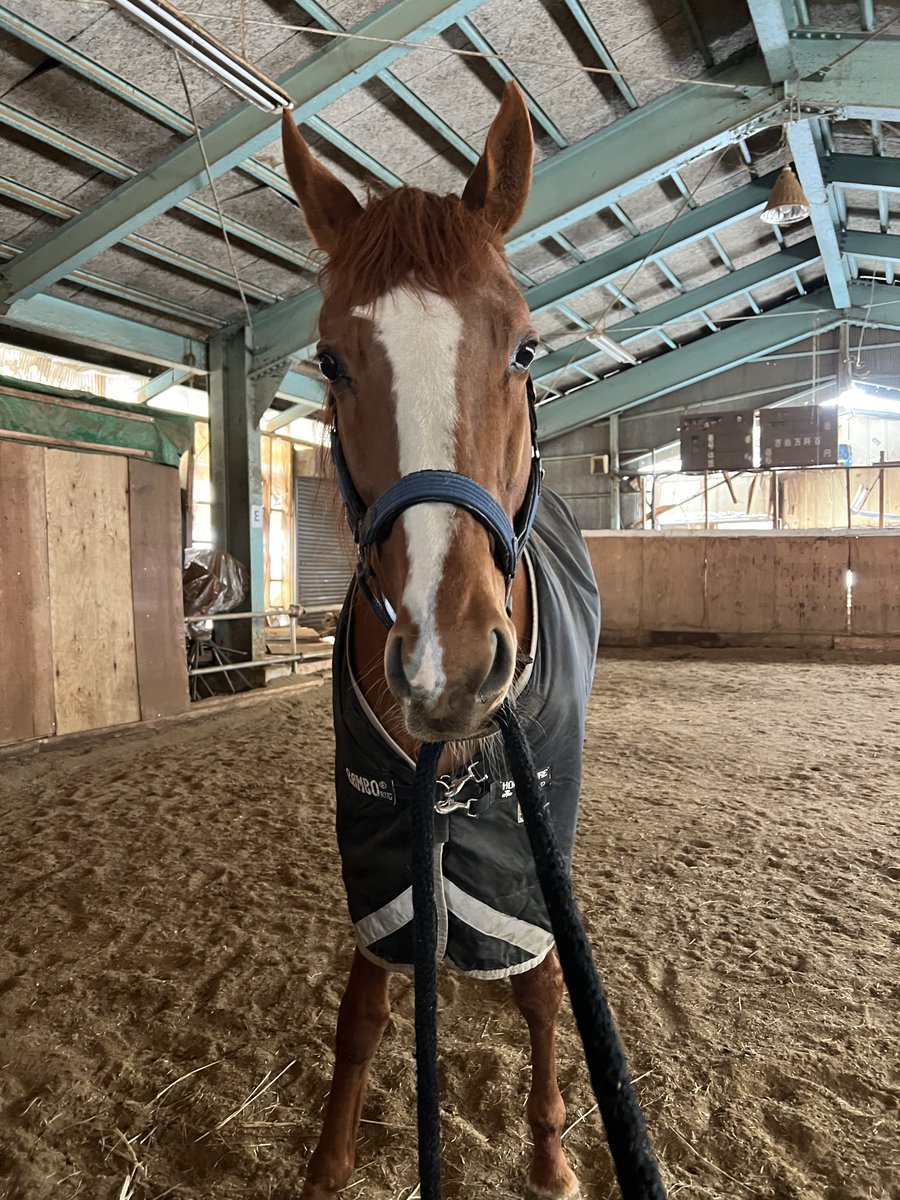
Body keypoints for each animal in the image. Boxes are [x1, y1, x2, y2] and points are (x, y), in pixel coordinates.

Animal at [281, 82, 601, 1200]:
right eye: (331, 359)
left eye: (526, 347)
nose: (447, 664)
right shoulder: (382, 849)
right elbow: (365, 1008)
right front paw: (329, 1162)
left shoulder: (525, 851)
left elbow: (545, 988)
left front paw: (550, 1155)